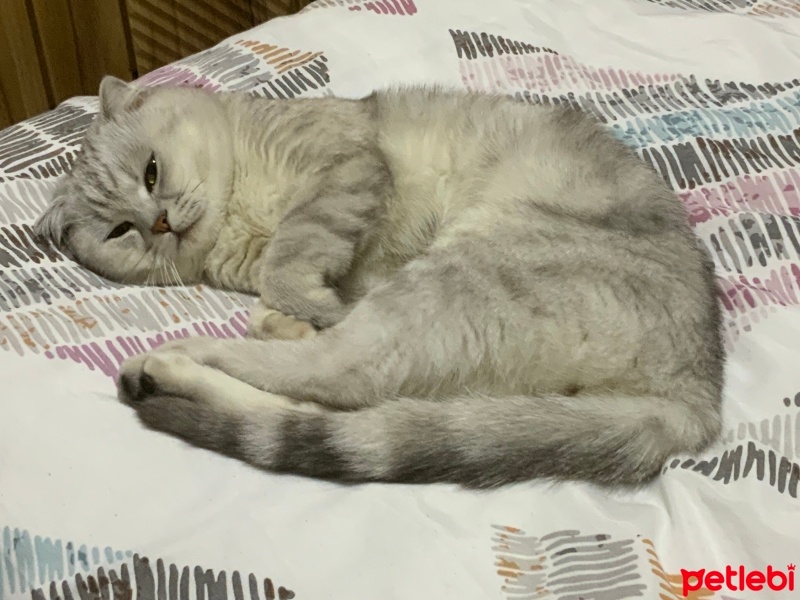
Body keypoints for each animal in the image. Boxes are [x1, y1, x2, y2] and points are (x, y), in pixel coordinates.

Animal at [34, 76, 724, 488]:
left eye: (151, 172)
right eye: (120, 231)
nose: (157, 221)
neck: (234, 216)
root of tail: (696, 393)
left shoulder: (345, 171)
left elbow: (291, 258)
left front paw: (304, 301)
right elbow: (283, 284)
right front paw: (293, 311)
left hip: (458, 270)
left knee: (336, 373)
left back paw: (167, 361)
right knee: (329, 399)